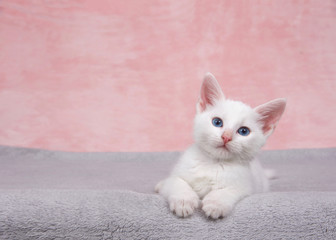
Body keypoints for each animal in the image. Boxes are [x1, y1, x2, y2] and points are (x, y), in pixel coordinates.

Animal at [156, 73, 286, 219]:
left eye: (244, 131)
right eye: (217, 122)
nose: (226, 137)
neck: (213, 163)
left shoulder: (244, 186)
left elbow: (227, 191)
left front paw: (215, 204)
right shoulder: (177, 174)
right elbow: (177, 183)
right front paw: (183, 201)